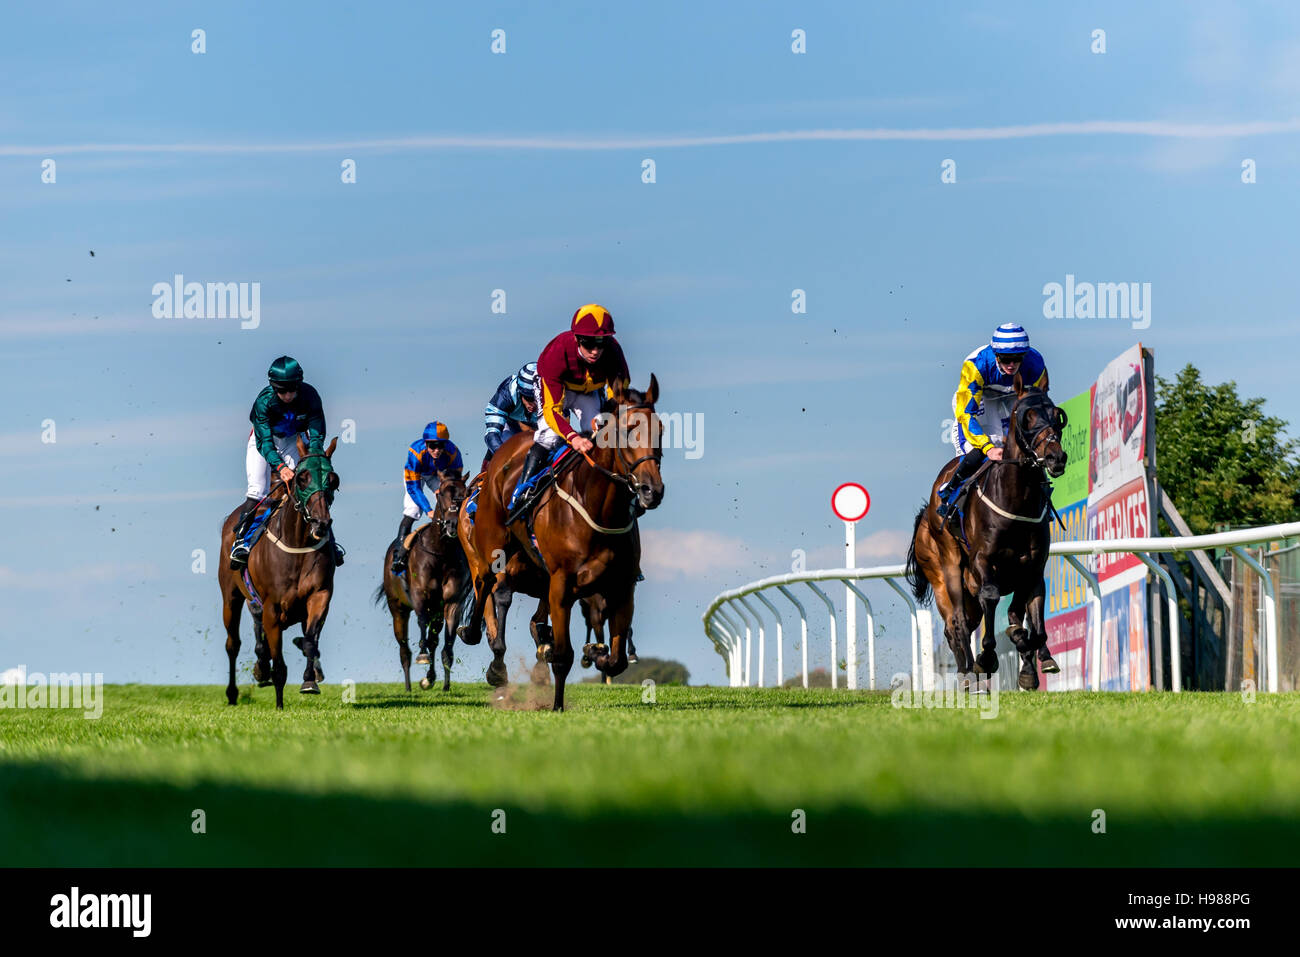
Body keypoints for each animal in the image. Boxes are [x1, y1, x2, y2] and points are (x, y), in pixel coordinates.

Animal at [218, 436, 340, 707]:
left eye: (333, 479)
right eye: (302, 478)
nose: (321, 524)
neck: (298, 545)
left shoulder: (320, 595)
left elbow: (309, 640)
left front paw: (309, 681)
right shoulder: (272, 608)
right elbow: (279, 665)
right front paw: (280, 705)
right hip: (231, 597)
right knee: (233, 644)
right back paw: (232, 694)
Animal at [374, 468, 470, 686]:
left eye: (465, 493)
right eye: (441, 493)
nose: (452, 524)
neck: (441, 552)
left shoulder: (451, 602)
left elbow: (446, 640)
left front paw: (444, 683)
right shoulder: (419, 596)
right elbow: (422, 623)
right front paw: (422, 654)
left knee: (433, 639)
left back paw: (430, 678)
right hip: (398, 609)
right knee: (404, 650)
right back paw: (409, 686)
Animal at [460, 374, 665, 712]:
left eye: (661, 429)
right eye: (625, 430)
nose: (652, 490)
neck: (599, 508)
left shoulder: (622, 586)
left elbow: (617, 659)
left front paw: (596, 653)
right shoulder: (560, 583)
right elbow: (561, 654)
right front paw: (556, 705)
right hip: (491, 549)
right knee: (487, 585)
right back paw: (478, 640)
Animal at [899, 379, 1071, 686]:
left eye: (1056, 415)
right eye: (1027, 416)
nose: (1055, 457)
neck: (1016, 499)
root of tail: (925, 515)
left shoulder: (1032, 567)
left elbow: (1030, 620)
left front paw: (1033, 665)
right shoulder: (983, 561)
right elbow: (993, 600)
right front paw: (987, 658)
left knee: (968, 622)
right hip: (945, 571)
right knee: (957, 624)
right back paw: (968, 673)